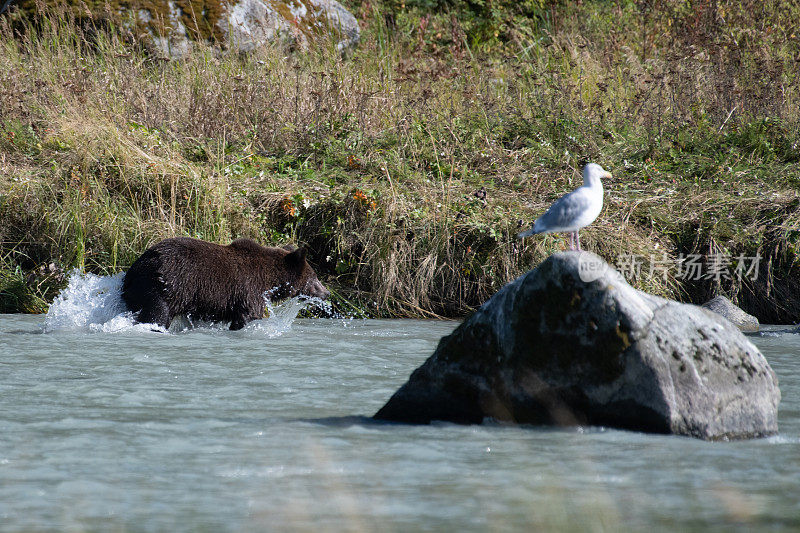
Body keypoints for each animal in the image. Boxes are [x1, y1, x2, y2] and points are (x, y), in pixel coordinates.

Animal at [122, 236, 328, 328]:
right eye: (315, 276)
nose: (326, 292)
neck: (271, 281)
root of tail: (137, 266)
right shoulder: (250, 290)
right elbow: (249, 314)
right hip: (166, 286)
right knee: (157, 314)